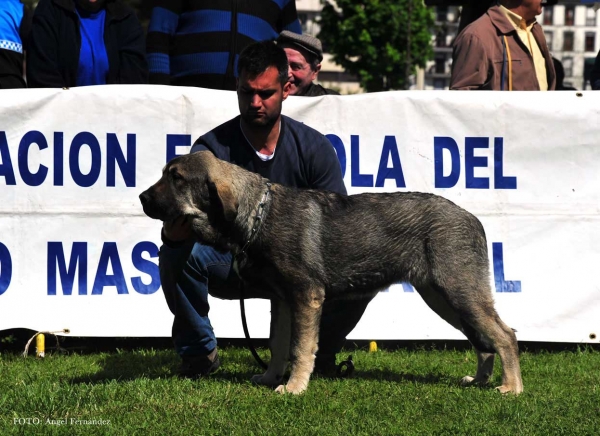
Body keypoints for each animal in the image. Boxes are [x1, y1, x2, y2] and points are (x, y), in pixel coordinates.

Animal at [138, 150, 524, 396]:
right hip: (445, 299)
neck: (260, 214)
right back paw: (480, 381)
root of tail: (473, 219)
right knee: (484, 342)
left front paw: (294, 387)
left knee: (505, 336)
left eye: (176, 178)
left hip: (459, 294)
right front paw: (270, 378)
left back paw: (511, 387)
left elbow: (300, 348)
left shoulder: (306, 297)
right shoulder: (282, 302)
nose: (141, 198)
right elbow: (277, 345)